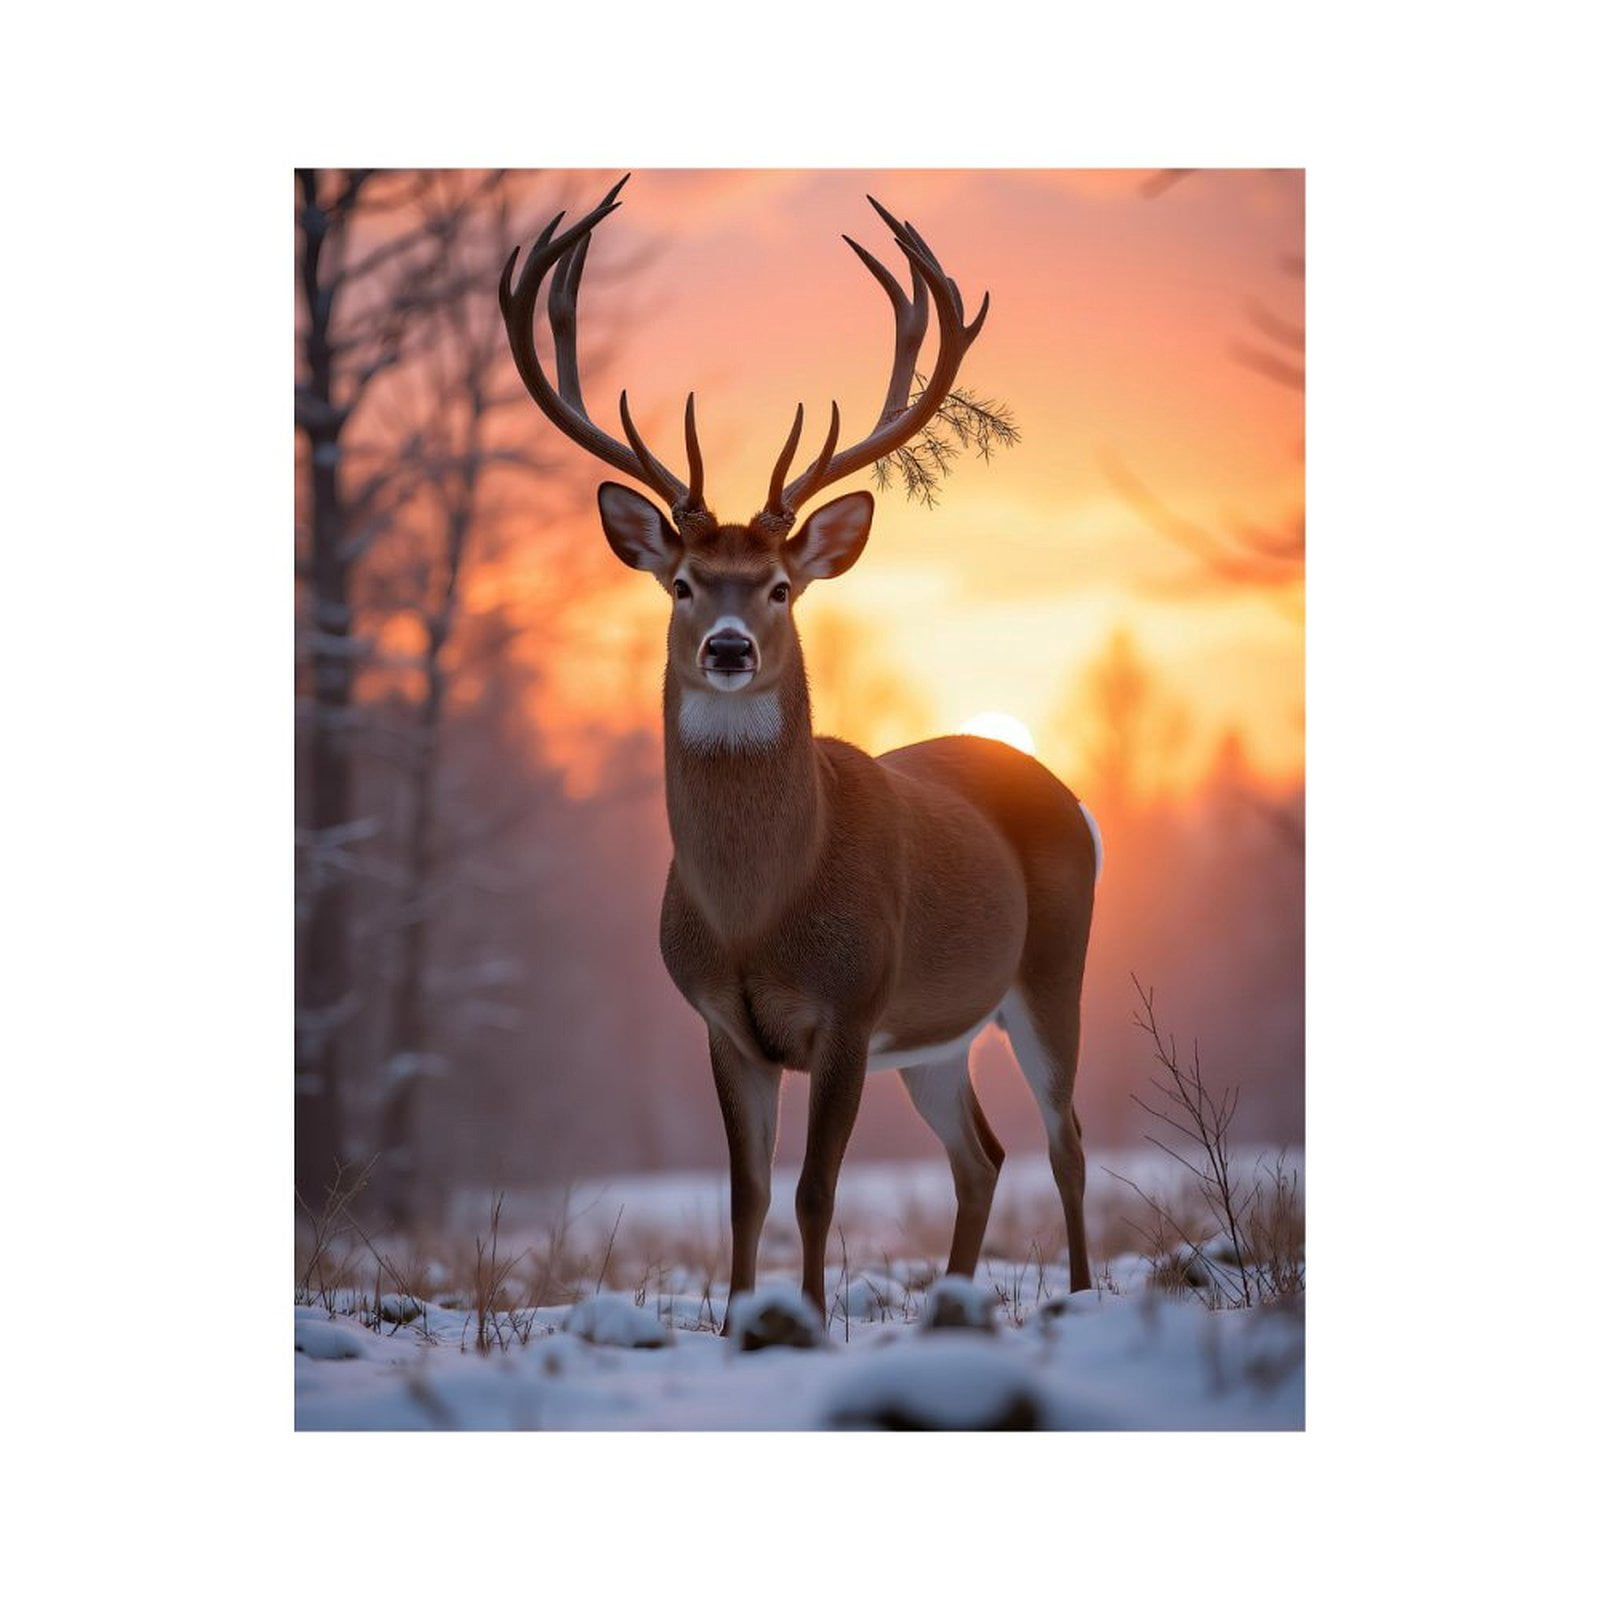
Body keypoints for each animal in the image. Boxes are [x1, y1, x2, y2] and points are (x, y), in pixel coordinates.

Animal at [500, 176, 1103, 1328]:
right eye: (681, 583)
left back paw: (1085, 1299)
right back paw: (953, 1302)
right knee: (982, 1156)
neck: (756, 912)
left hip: (1052, 969)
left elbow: (816, 1191)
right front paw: (745, 1319)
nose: (730, 647)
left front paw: (809, 1322)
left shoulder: (850, 1009)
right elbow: (743, 1193)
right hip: (938, 1034)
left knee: (1066, 1142)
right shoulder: (724, 1025)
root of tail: (1067, 793)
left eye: (781, 585)